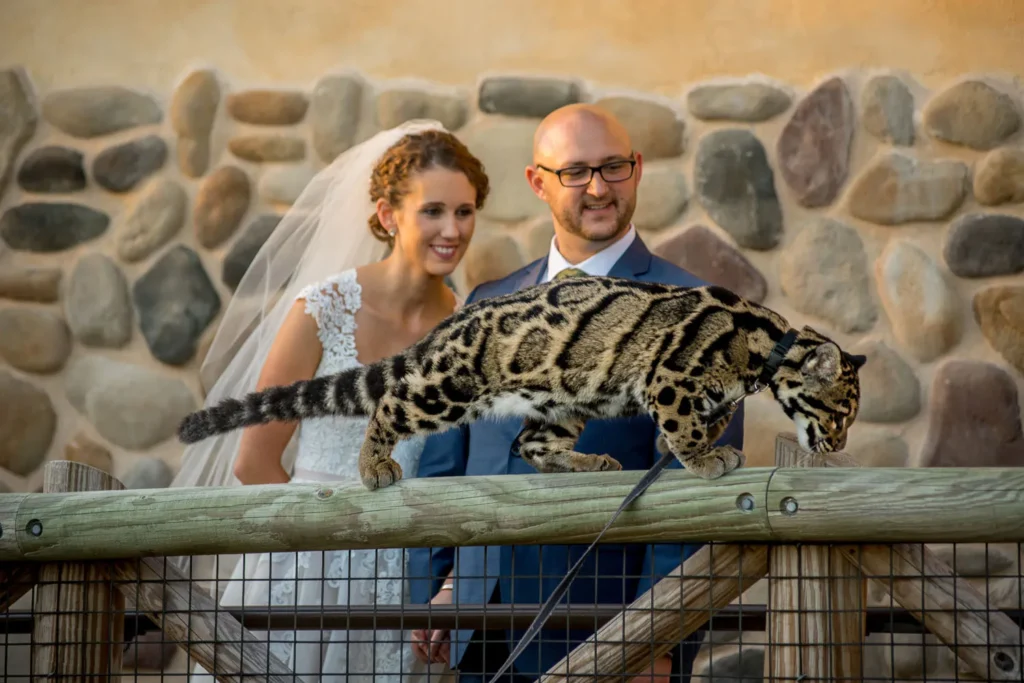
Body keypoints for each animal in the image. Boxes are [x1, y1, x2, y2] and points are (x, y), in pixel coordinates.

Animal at [178, 276, 864, 491]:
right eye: (839, 416)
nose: (837, 445)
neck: (767, 349)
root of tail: (453, 324)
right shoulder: (669, 376)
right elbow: (683, 425)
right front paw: (701, 457)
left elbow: (707, 417)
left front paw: (709, 441)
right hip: (447, 390)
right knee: (391, 405)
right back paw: (374, 466)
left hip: (566, 400)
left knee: (532, 445)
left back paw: (586, 464)